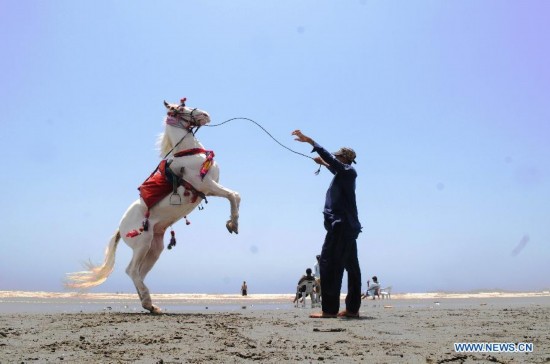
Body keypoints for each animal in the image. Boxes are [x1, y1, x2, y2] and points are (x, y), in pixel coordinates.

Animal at [66, 99, 242, 312]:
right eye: (180, 108)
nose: (206, 114)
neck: (189, 154)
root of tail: (120, 228)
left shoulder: (211, 188)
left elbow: (235, 196)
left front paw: (232, 223)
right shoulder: (207, 186)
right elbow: (234, 195)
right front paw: (233, 224)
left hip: (155, 247)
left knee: (140, 273)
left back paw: (148, 303)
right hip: (142, 243)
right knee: (132, 271)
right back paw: (148, 302)